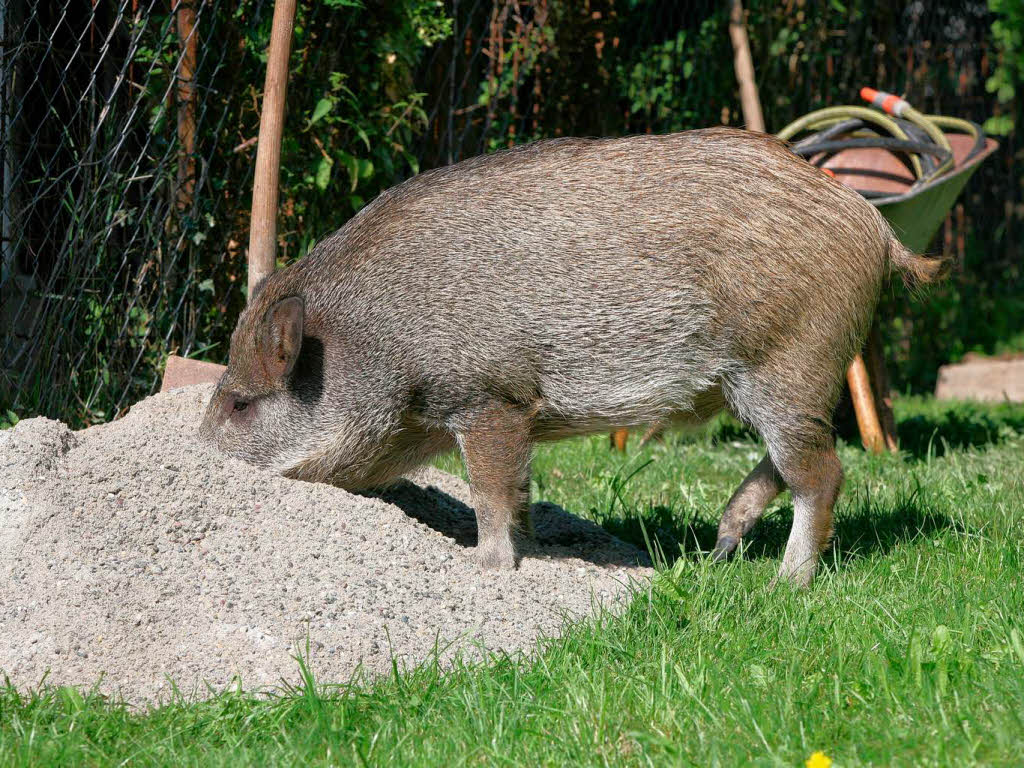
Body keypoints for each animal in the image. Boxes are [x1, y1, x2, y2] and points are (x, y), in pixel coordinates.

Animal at [199, 129, 942, 589]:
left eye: (239, 402)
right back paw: (721, 548)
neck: (376, 340)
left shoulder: (489, 398)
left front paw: (487, 570)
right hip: (770, 379)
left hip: (789, 360)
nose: (199, 450)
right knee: (794, 463)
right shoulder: (515, 417)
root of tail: (875, 226)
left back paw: (784, 584)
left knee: (823, 473)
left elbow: (491, 491)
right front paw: (535, 552)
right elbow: (521, 491)